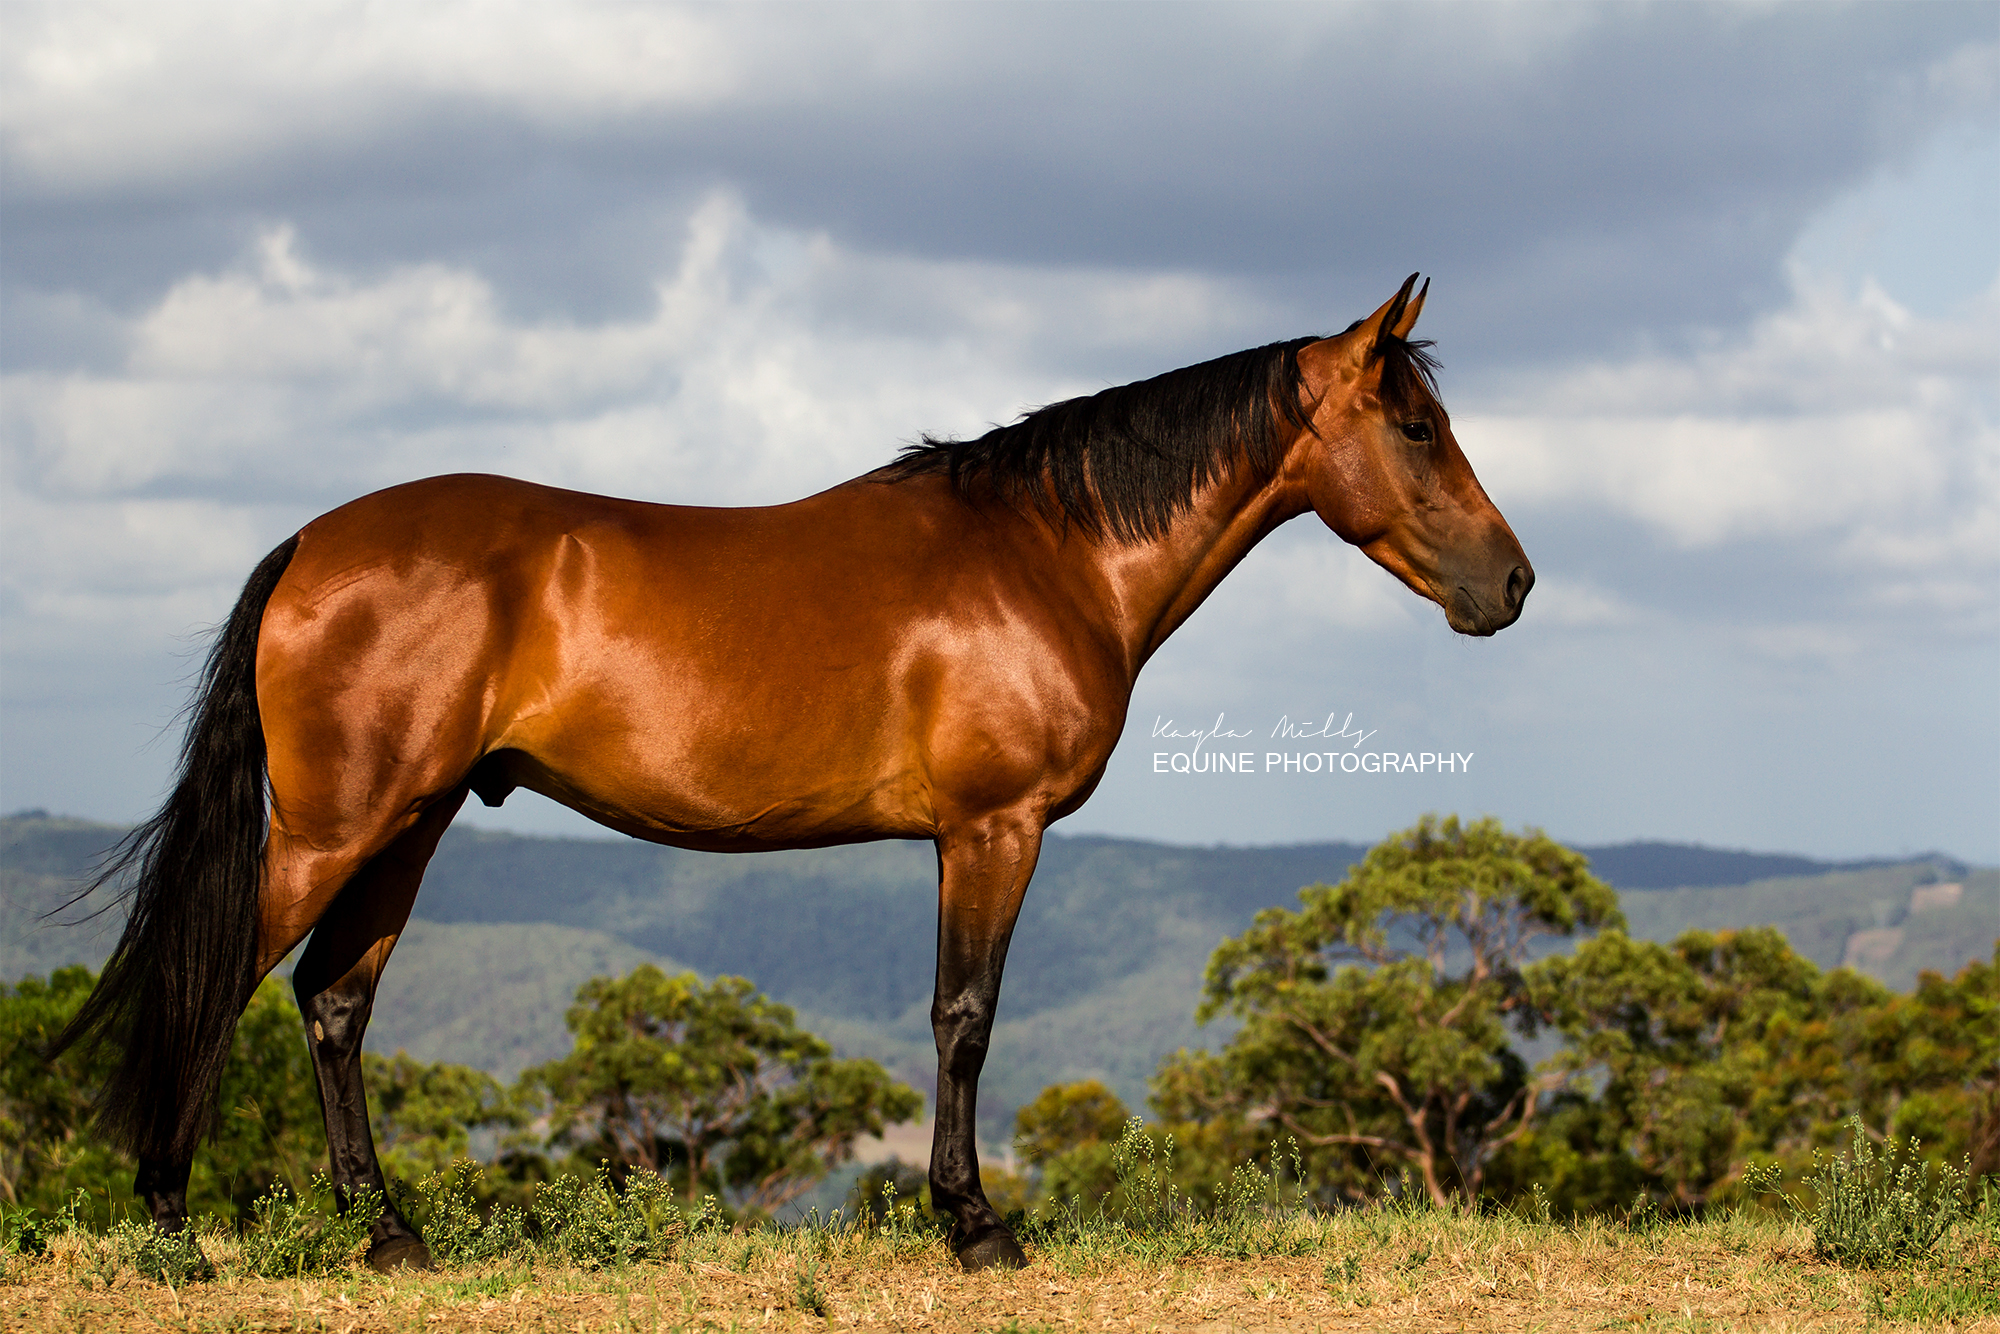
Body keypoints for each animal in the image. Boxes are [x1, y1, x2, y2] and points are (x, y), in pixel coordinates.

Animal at [57, 274, 1531, 1272]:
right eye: (1413, 423)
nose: (1510, 583)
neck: (1042, 553)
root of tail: (314, 540)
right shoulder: (993, 829)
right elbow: (964, 1015)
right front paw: (974, 1223)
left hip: (406, 823)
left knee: (332, 1000)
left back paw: (388, 1231)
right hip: (339, 827)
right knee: (222, 977)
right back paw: (173, 1217)